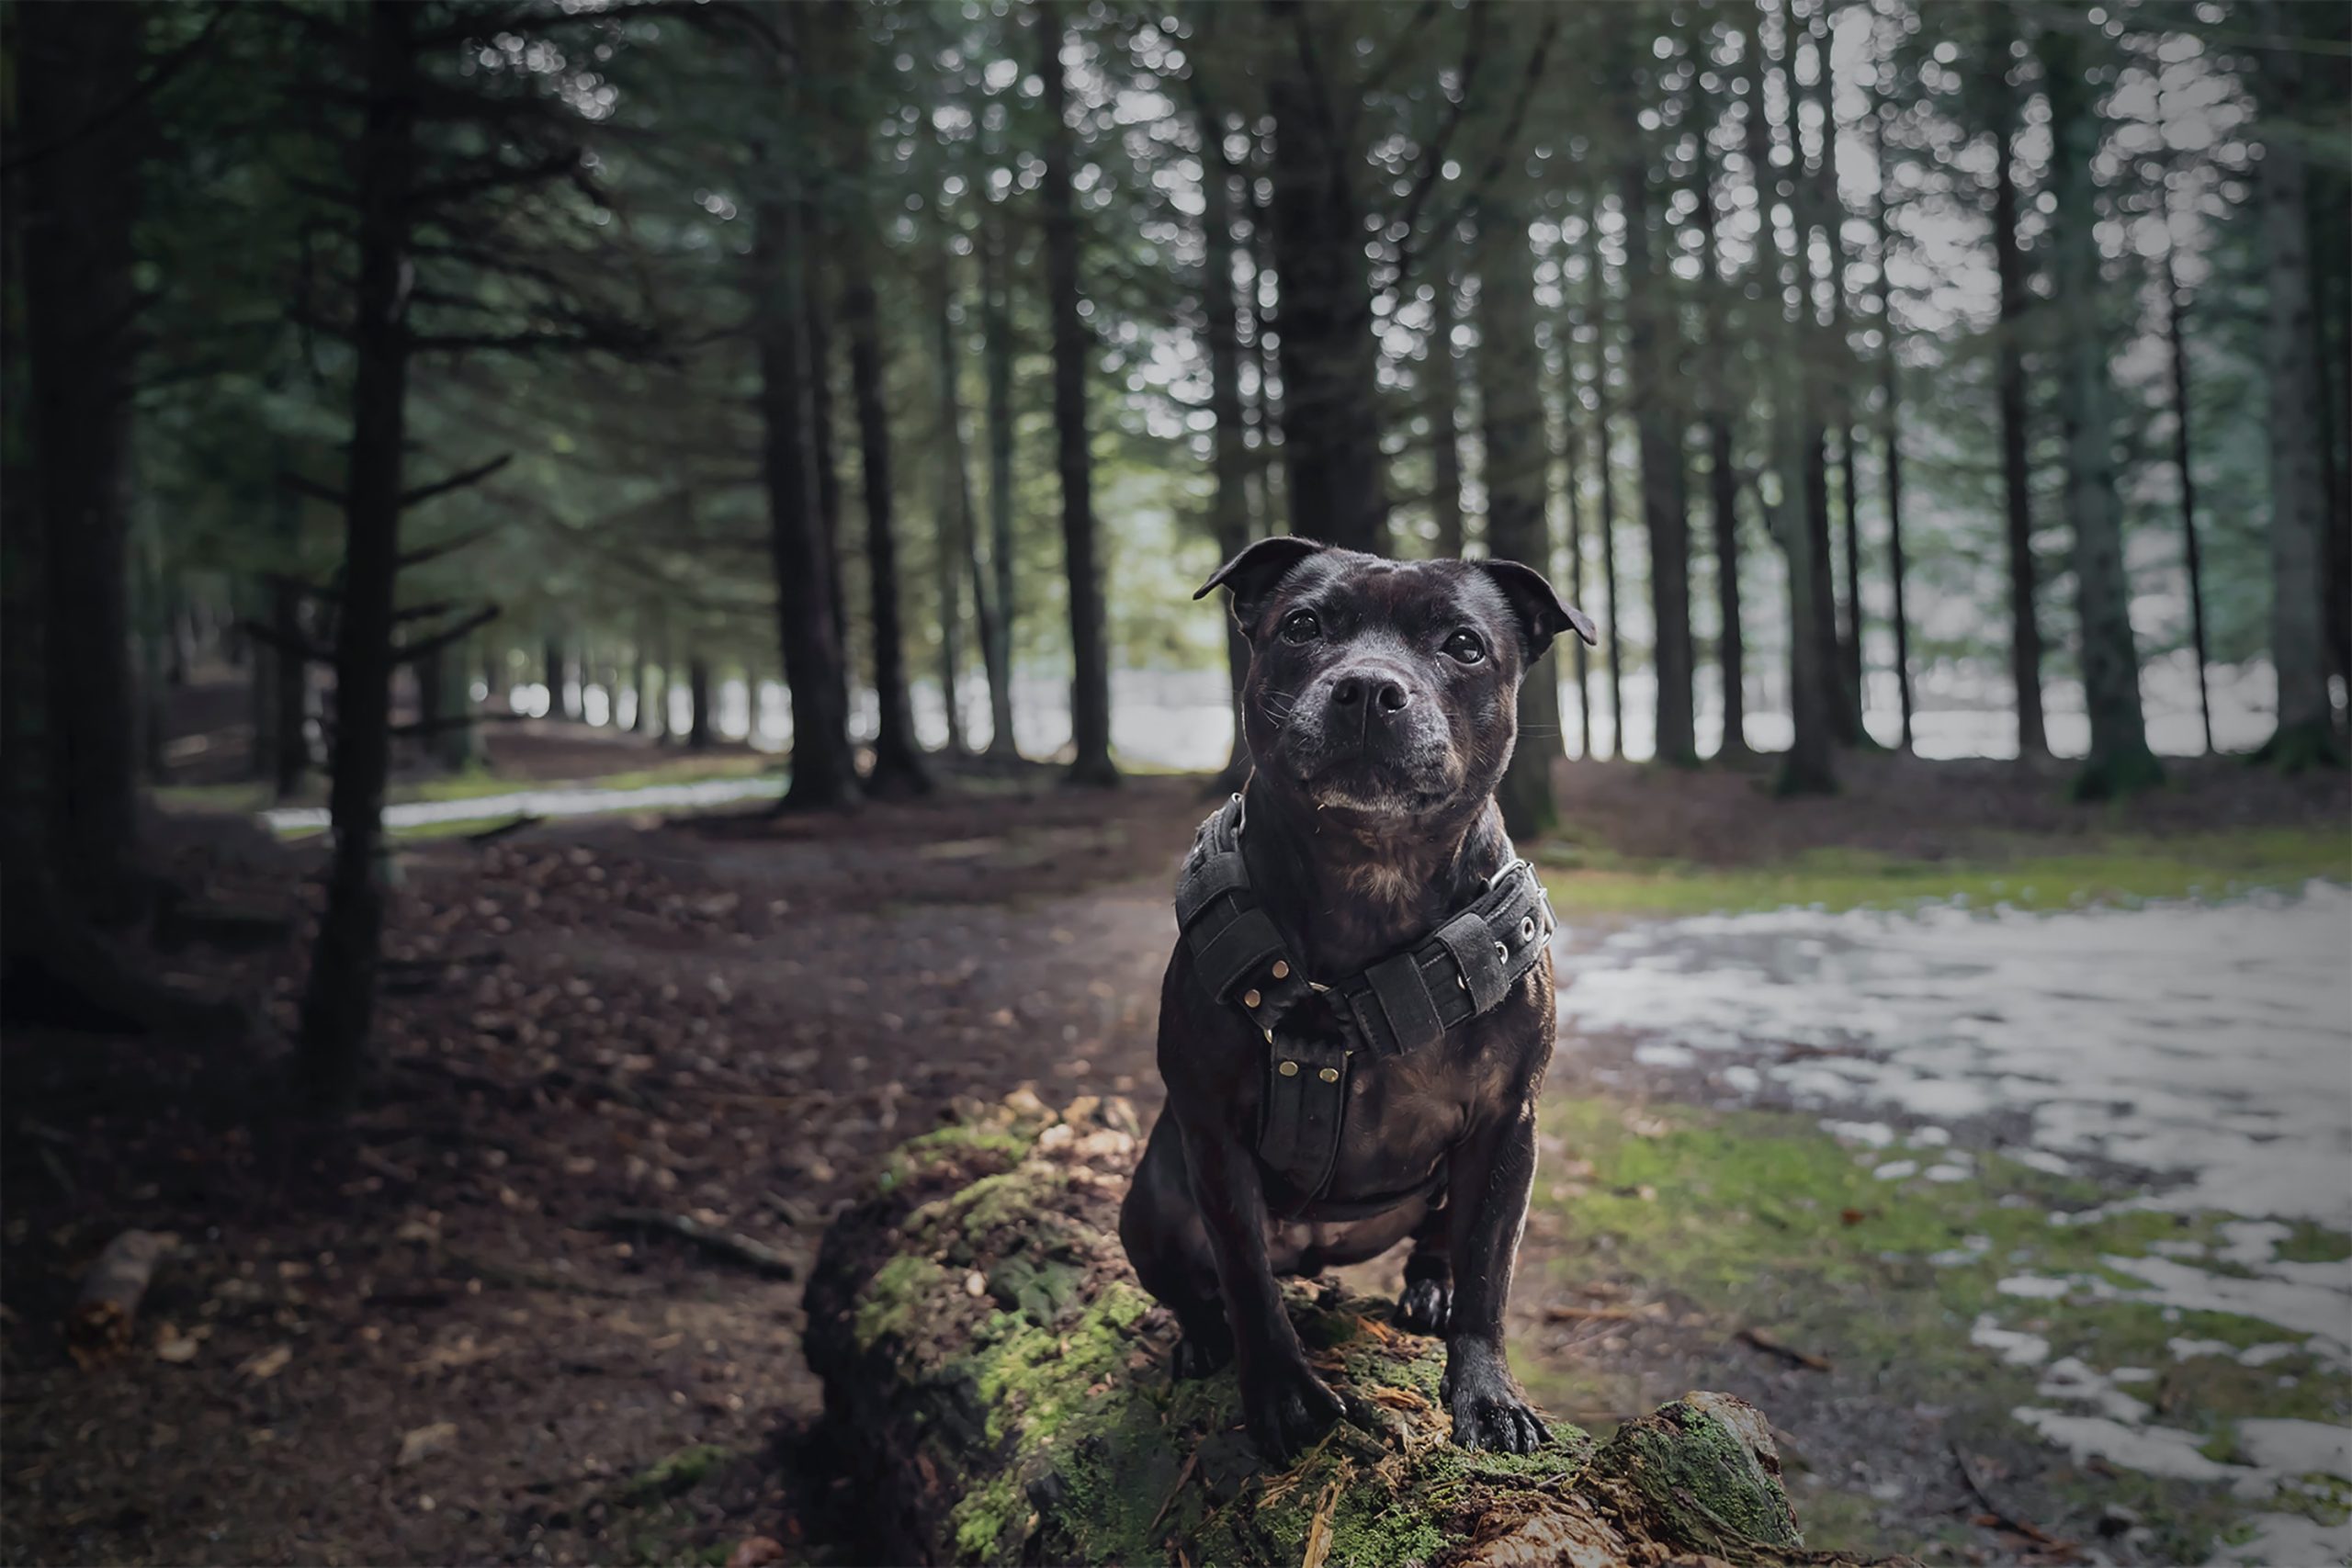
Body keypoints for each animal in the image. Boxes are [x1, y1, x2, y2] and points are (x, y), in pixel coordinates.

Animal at [1119, 543, 1599, 1476]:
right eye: (1304, 625)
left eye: (1464, 644)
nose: (1371, 687)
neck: (1370, 872)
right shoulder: (1212, 1132)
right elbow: (1245, 1276)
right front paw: (1280, 1393)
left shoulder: (1508, 1124)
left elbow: (1490, 1269)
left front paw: (1487, 1393)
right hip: (1151, 1201)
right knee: (1199, 1284)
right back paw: (1201, 1336)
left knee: (1443, 1242)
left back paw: (1429, 1288)